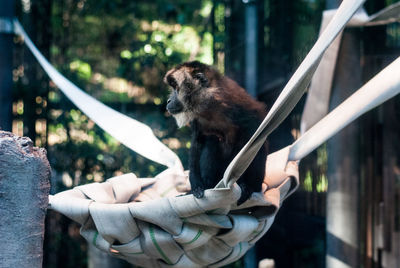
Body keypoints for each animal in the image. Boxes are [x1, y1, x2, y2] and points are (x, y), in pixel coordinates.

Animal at [164, 60, 268, 204]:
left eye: (176, 89)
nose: (168, 100)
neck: (210, 107)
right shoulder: (197, 119)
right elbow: (197, 142)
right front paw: (196, 186)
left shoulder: (239, 107)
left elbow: (255, 140)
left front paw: (245, 186)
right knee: (212, 140)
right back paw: (208, 186)